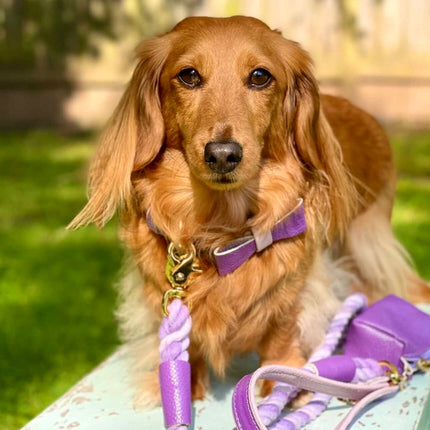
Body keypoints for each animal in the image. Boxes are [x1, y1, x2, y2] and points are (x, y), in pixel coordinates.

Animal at [69, 16, 428, 406]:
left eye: (259, 76)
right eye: (189, 75)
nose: (223, 154)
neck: (220, 231)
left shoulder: (296, 287)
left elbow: (282, 333)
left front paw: (284, 384)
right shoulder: (161, 291)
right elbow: (183, 340)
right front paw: (182, 386)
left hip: (367, 242)